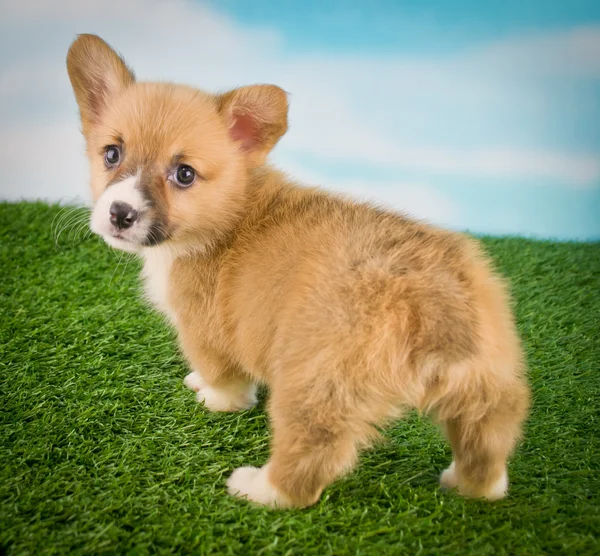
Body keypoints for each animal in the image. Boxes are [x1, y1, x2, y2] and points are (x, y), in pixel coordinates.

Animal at [67, 33, 528, 508]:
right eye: (111, 154)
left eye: (185, 174)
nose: (120, 214)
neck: (229, 212)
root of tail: (430, 298)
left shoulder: (202, 328)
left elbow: (224, 377)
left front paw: (215, 398)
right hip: (486, 378)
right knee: (488, 436)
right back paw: (474, 484)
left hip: (317, 383)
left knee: (309, 458)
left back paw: (259, 488)